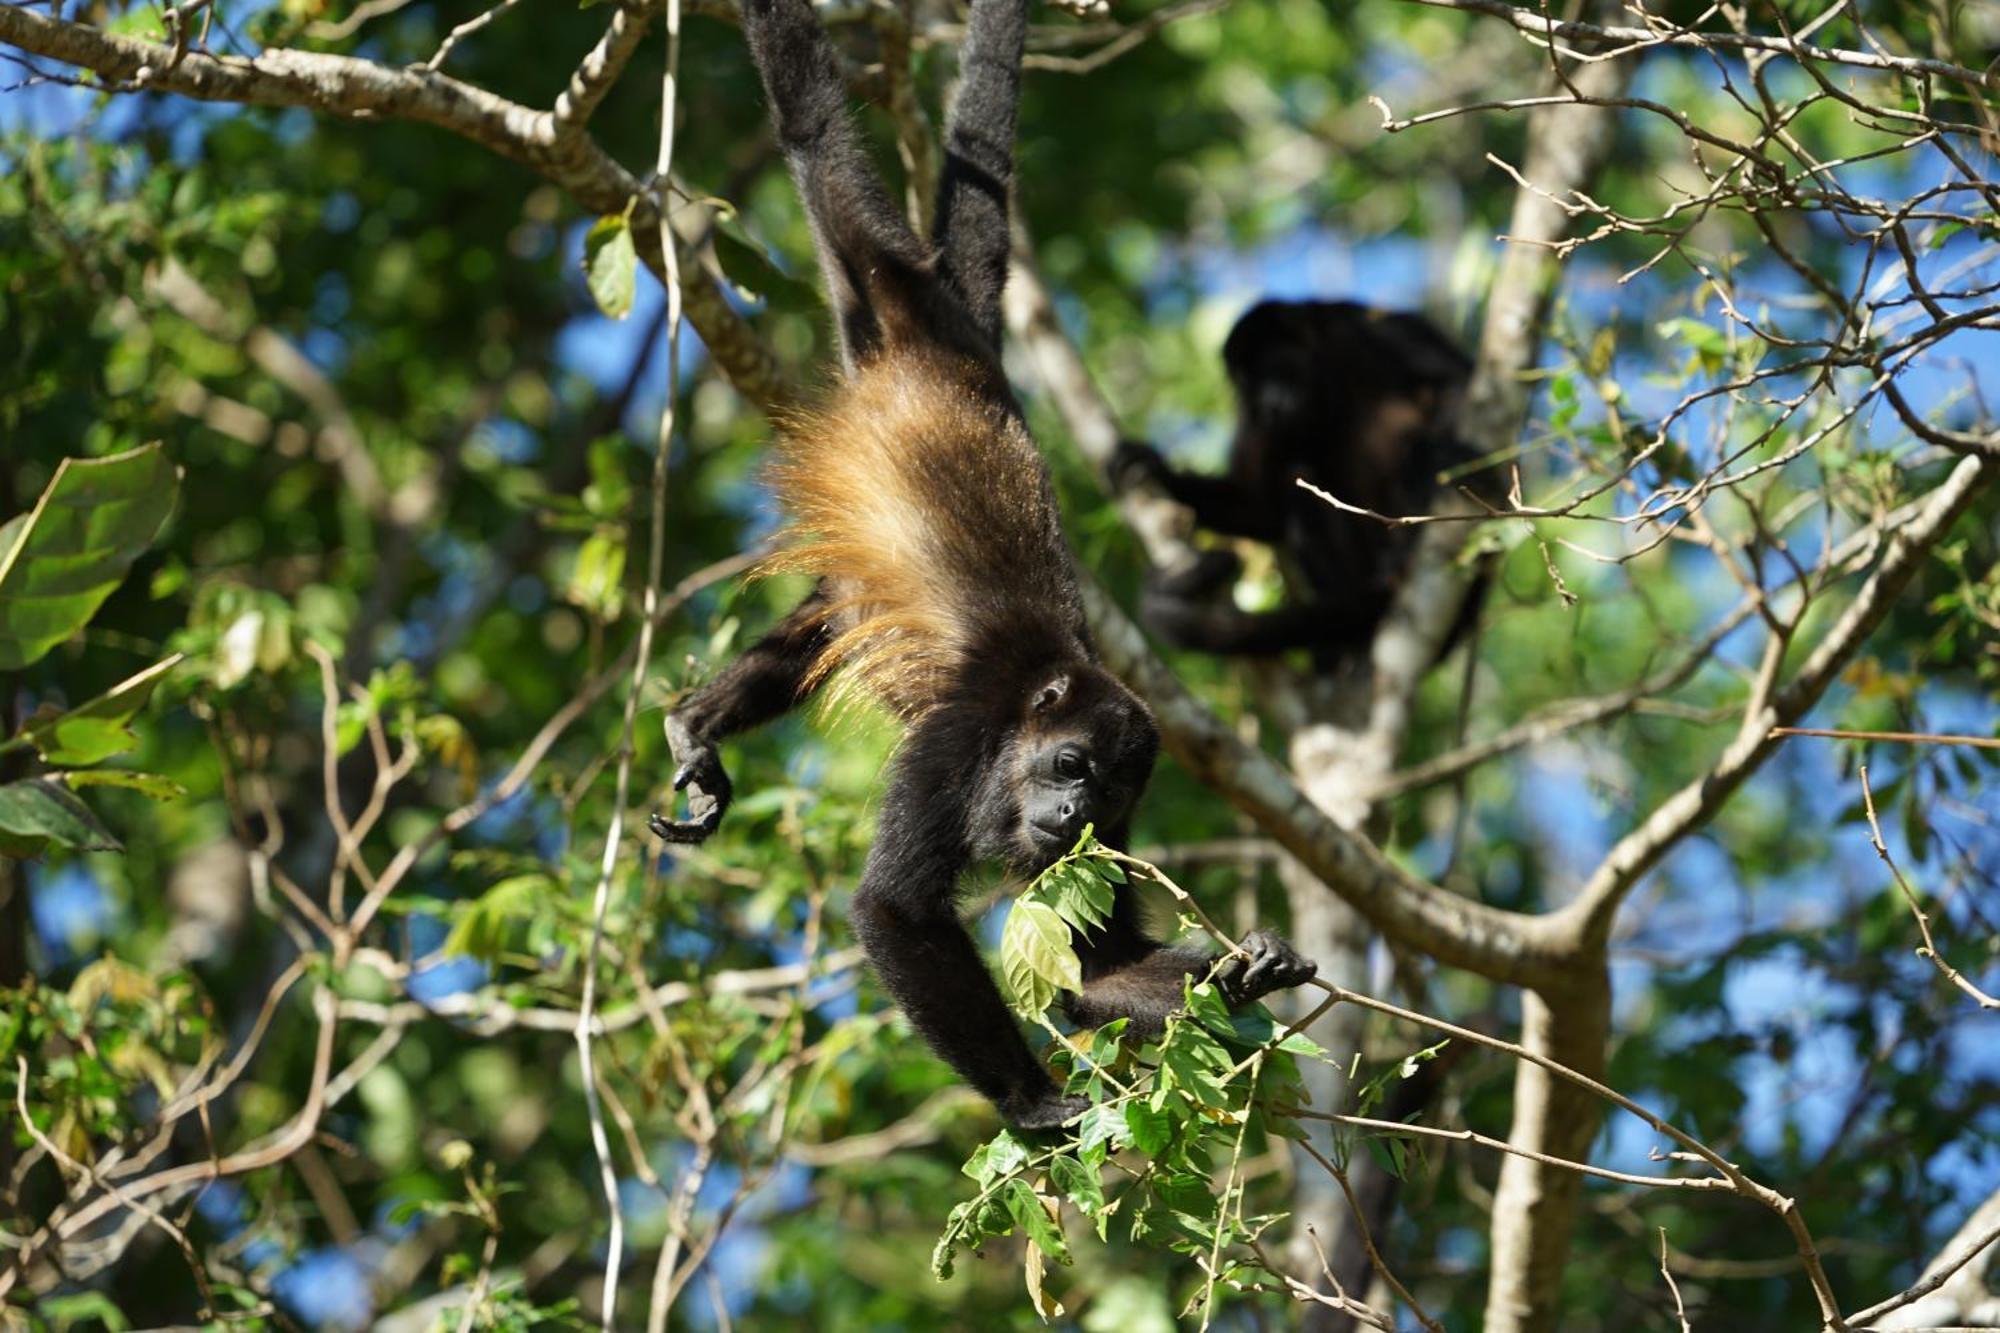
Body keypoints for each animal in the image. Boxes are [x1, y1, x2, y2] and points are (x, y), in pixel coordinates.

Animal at [648, 0, 1320, 1128]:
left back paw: (699, 724)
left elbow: (1093, 967)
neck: (1032, 702)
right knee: (812, 131)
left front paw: (1247, 969)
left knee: (820, 626)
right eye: (1070, 765)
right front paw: (1033, 1104)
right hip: (874, 271)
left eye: (1107, 795)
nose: (1071, 814)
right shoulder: (957, 743)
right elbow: (892, 907)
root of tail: (947, 337)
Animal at [1112, 296, 1488, 664]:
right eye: (1249, 383)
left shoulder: (1374, 326)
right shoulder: (1250, 412)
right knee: (1295, 480)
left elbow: (1455, 381)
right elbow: (1261, 508)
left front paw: (1438, 456)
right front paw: (1158, 470)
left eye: (1276, 367)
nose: (1271, 403)